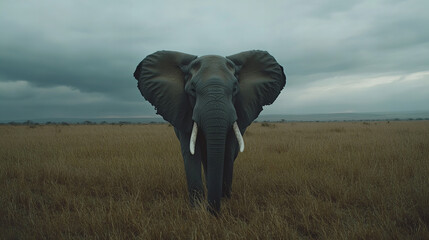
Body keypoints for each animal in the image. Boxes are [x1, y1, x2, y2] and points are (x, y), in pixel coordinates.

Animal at [132, 49, 286, 215]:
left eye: (235, 89)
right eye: (192, 90)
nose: (212, 211)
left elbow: (227, 152)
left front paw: (225, 201)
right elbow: (190, 153)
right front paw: (196, 208)